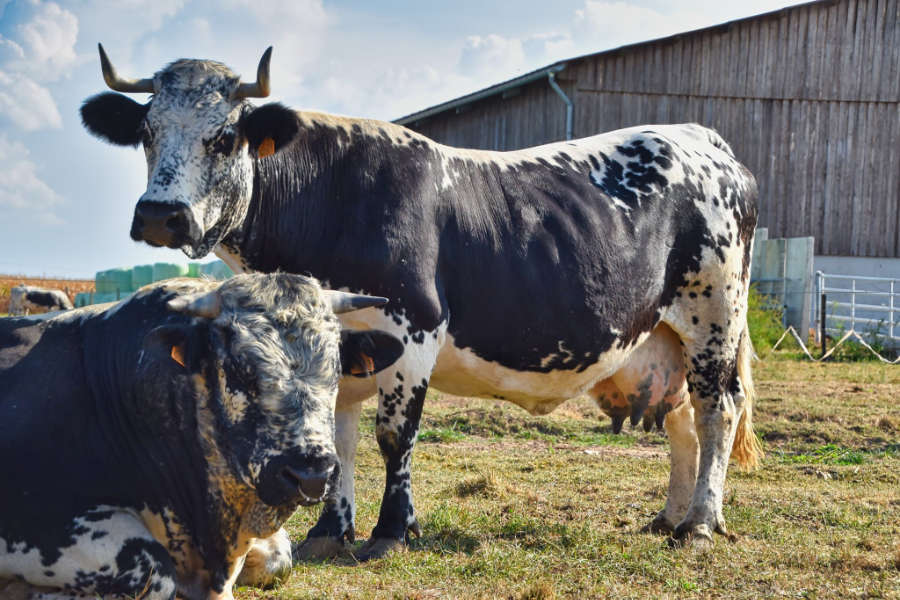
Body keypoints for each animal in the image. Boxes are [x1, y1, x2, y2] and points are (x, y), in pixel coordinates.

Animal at [82, 47, 760, 564]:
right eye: (145, 133)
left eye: (223, 138)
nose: (161, 215)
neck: (332, 198)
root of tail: (700, 138)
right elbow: (337, 436)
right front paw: (329, 532)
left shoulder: (413, 328)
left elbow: (392, 435)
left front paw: (391, 530)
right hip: (666, 335)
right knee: (680, 417)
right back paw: (670, 517)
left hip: (715, 316)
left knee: (717, 411)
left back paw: (701, 523)